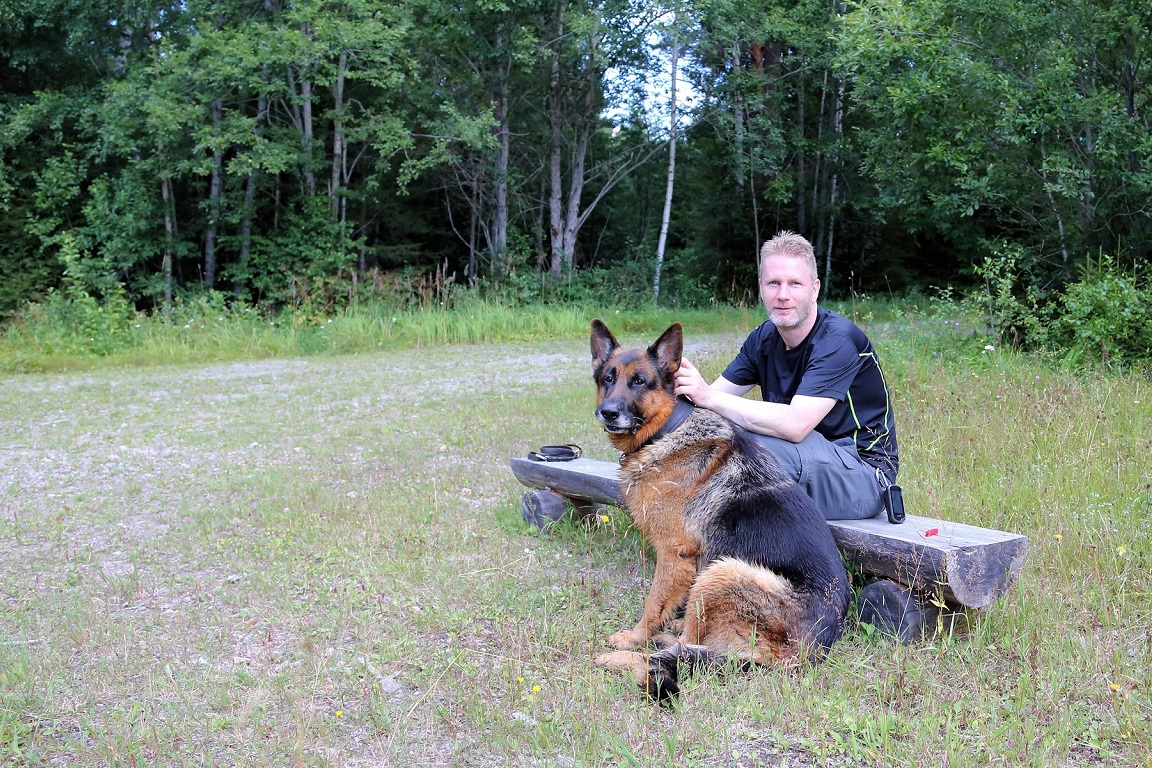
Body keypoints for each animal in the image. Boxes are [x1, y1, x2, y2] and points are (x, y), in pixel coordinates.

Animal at [594, 317, 847, 704]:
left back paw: (629, 654)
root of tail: (812, 650)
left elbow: (652, 606)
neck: (667, 430)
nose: (608, 412)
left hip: (722, 572)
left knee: (684, 649)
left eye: (639, 381)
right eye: (608, 378)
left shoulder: (673, 553)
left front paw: (634, 638)